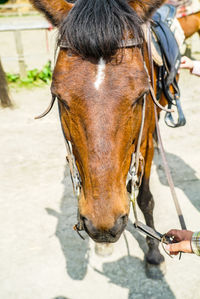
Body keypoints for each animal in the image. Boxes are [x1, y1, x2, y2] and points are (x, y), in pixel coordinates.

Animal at [30, 0, 167, 268]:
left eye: (141, 95)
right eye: (60, 98)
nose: (103, 225)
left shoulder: (144, 142)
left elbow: (145, 198)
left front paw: (154, 251)